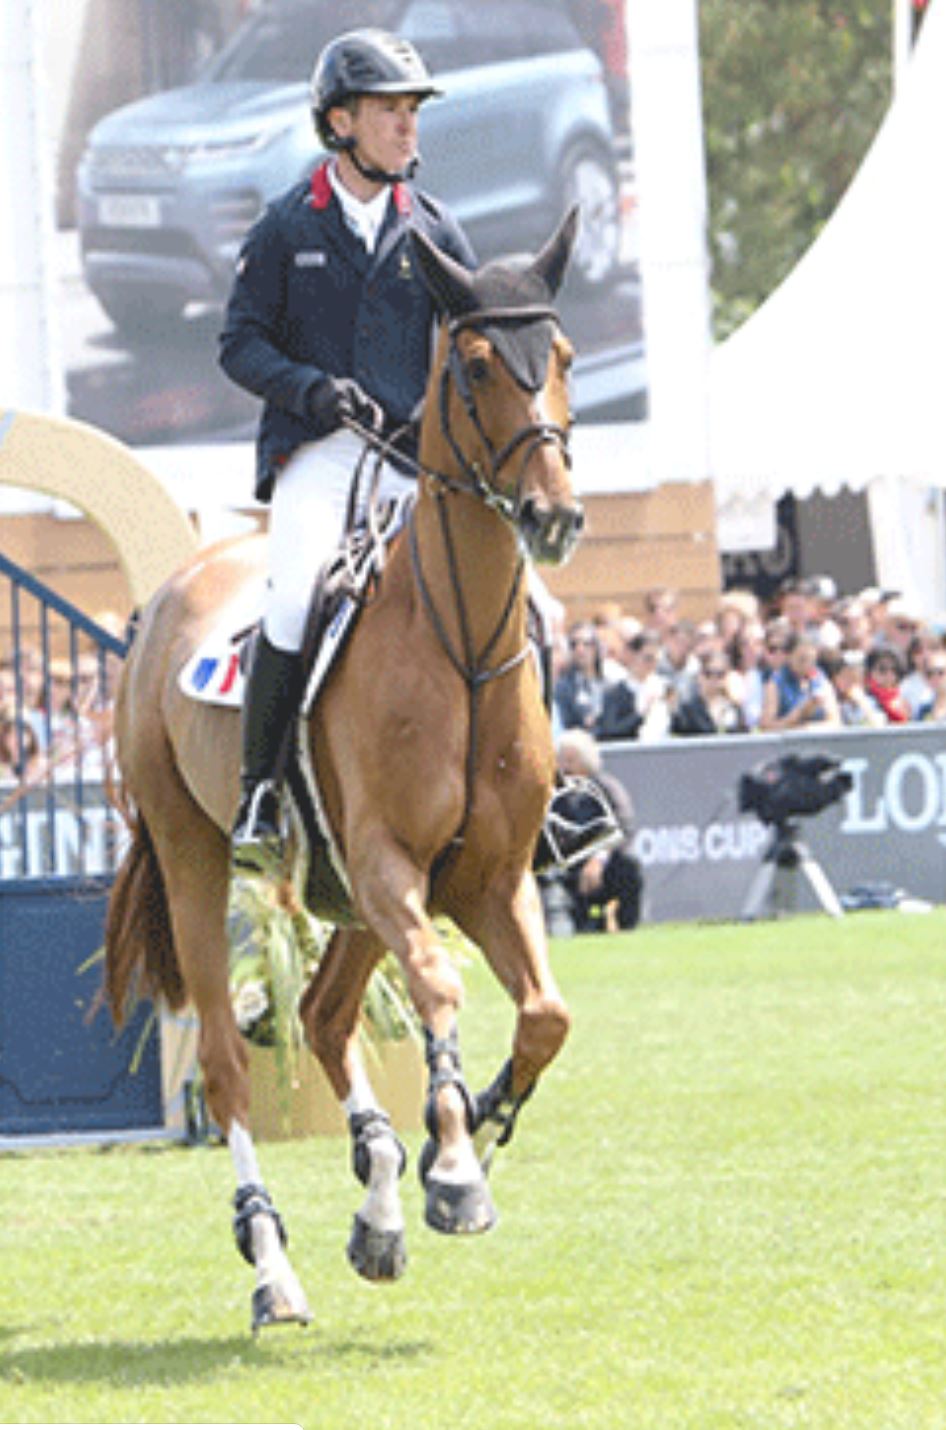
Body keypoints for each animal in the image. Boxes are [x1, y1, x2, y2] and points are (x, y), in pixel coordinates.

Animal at [107, 208, 588, 1327]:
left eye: (563, 359)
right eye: (475, 367)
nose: (552, 518)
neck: (460, 645)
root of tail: (174, 593)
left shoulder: (489, 877)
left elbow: (545, 1014)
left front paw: (479, 1127)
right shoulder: (386, 862)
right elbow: (442, 990)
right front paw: (453, 1168)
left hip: (349, 898)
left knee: (324, 1019)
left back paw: (377, 1204)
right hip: (201, 863)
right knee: (234, 1064)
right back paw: (274, 1265)